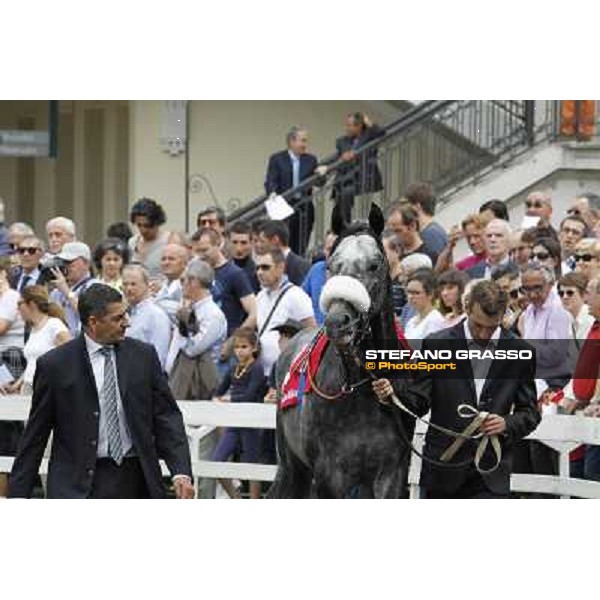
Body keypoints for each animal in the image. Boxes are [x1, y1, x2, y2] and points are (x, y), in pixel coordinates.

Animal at [266, 209, 412, 500]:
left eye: (374, 265)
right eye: (331, 266)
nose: (337, 321)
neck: (363, 391)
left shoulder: (392, 472)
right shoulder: (329, 476)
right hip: (292, 464)